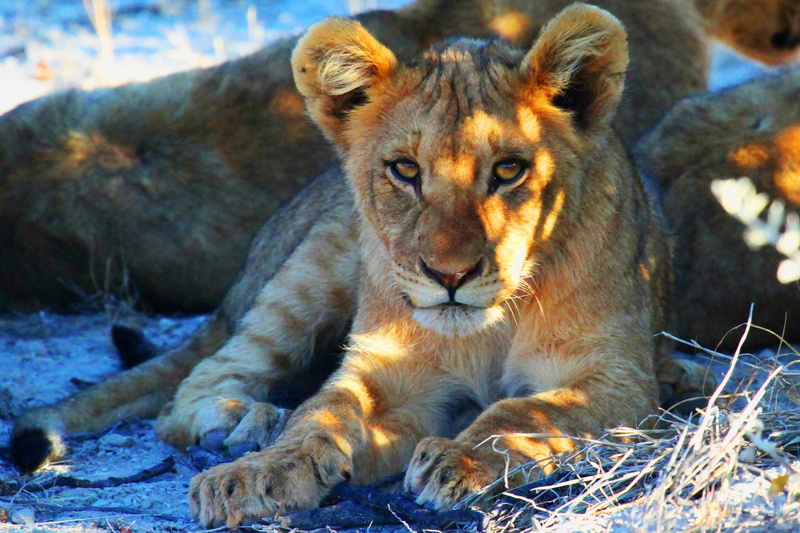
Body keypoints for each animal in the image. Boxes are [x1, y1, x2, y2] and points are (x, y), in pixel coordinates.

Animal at [13, 5, 715, 525]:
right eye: (404, 170)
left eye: (509, 170)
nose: (449, 276)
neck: (488, 329)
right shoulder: (386, 372)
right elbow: (323, 413)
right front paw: (255, 475)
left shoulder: (617, 383)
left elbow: (526, 412)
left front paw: (455, 462)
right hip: (313, 268)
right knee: (195, 388)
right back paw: (246, 422)